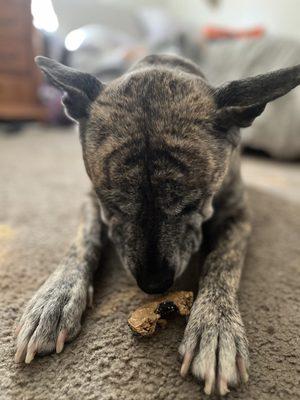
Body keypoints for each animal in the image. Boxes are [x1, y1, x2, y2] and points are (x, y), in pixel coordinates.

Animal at [14, 54, 300, 396]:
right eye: (112, 205)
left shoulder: (237, 215)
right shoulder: (90, 201)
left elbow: (222, 264)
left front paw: (215, 328)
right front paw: (54, 300)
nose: (154, 284)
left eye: (194, 203)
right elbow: (81, 244)